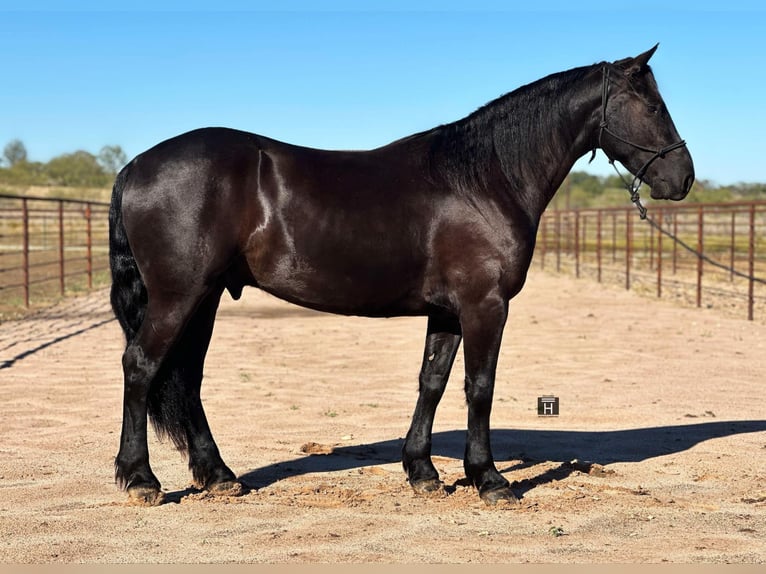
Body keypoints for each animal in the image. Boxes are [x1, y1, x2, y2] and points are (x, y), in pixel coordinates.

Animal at [111, 45, 700, 506]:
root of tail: (137, 165)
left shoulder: (448, 311)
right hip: (179, 296)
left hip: (205, 297)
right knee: (141, 366)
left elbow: (432, 382)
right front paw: (489, 480)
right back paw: (141, 480)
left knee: (186, 378)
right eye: (653, 106)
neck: (483, 180)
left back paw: (218, 476)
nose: (684, 178)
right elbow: (479, 387)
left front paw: (422, 471)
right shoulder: (485, 305)